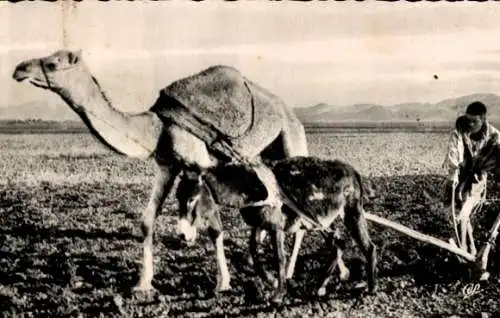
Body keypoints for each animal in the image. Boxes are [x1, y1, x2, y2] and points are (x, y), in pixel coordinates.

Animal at [11, 50, 308, 294]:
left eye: (52, 63)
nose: (19, 69)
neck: (158, 128)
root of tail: (291, 113)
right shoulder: (167, 166)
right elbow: (147, 221)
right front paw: (142, 283)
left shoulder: (200, 166)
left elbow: (214, 227)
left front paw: (222, 283)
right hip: (263, 156)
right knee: (272, 201)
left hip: (291, 140)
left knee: (298, 212)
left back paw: (288, 272)